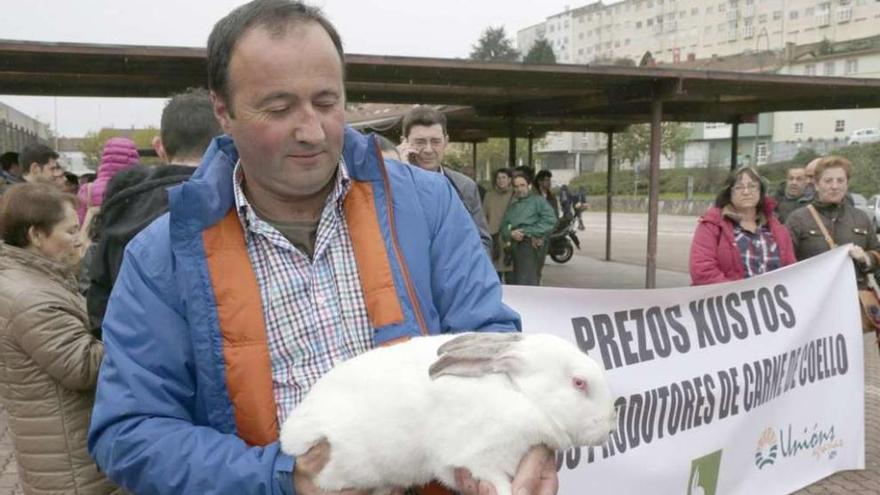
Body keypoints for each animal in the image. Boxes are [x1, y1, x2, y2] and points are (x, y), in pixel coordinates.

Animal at [282, 332, 620, 495]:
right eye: (579, 383)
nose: (610, 426)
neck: (522, 395)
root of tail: (291, 436)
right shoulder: (478, 459)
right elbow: (497, 482)